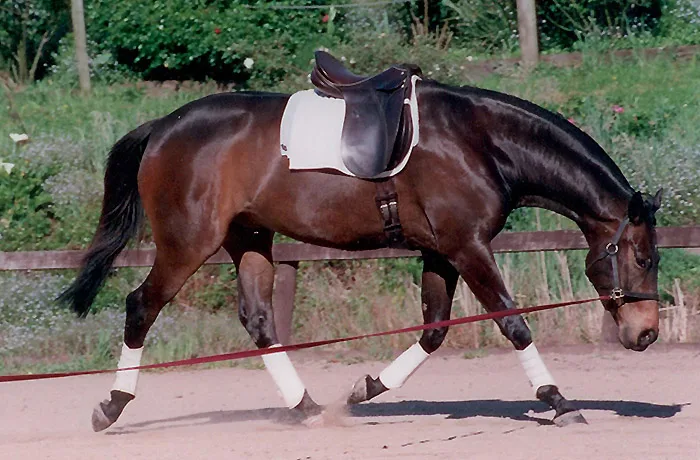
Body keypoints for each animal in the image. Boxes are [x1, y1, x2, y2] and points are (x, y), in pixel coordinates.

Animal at [59, 58, 662, 433]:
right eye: (642, 257)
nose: (647, 334)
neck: (481, 142)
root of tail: (163, 125)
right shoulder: (468, 247)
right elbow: (513, 323)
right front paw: (560, 402)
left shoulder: (442, 251)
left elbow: (434, 330)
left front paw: (364, 389)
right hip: (188, 242)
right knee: (141, 306)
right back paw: (111, 407)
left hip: (248, 238)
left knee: (258, 320)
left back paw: (307, 409)